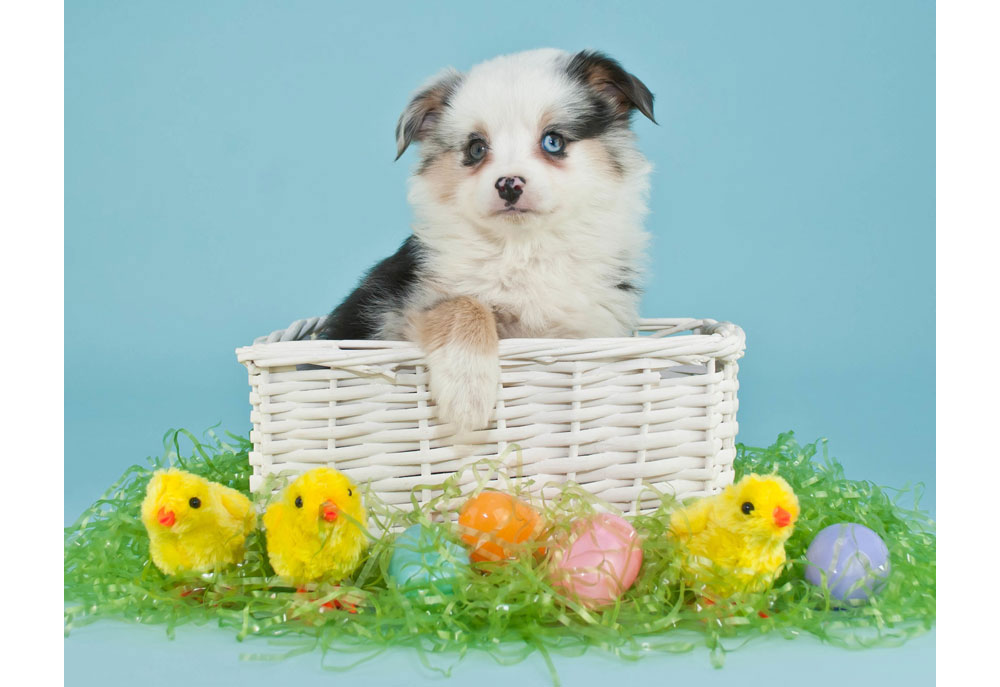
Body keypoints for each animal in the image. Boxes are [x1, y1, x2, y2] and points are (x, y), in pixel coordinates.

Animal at [314, 48, 656, 432]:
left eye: (553, 141)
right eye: (476, 149)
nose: (508, 184)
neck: (524, 247)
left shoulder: (588, 330)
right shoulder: (398, 309)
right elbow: (465, 303)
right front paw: (467, 394)